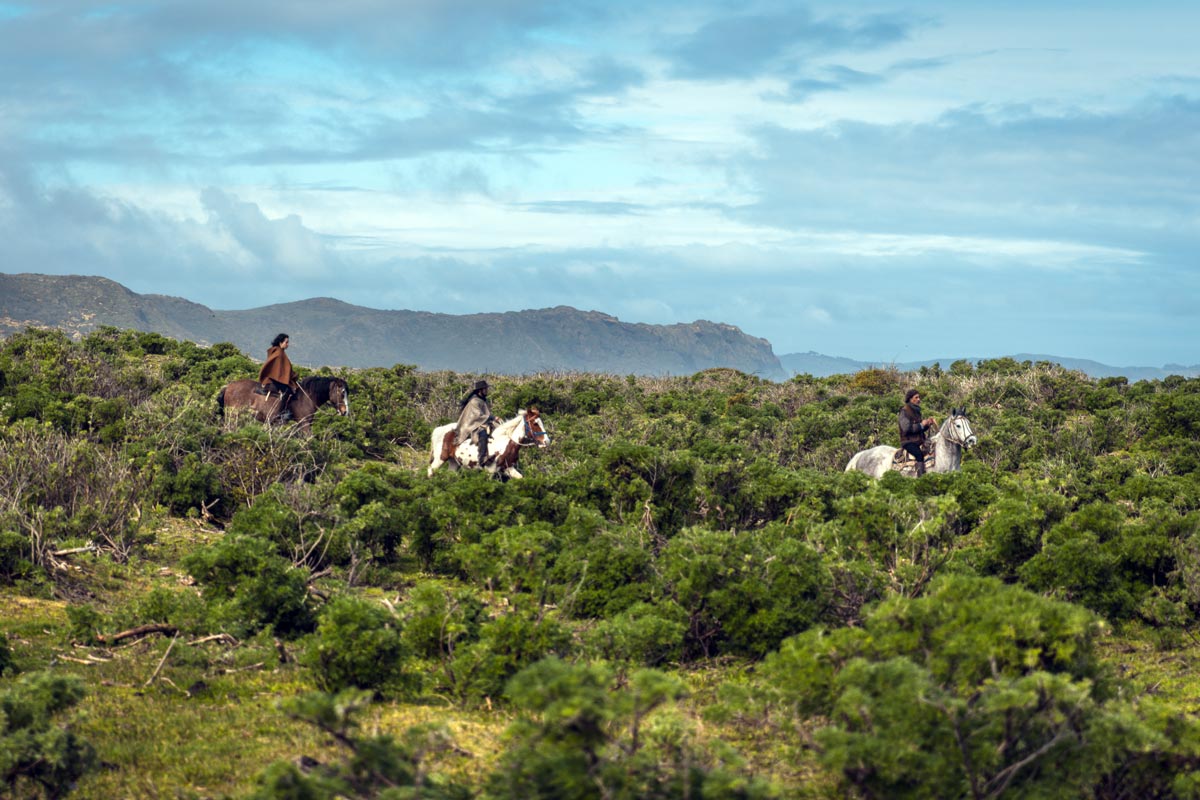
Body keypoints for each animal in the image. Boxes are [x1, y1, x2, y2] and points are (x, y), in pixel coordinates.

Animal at [217, 376, 350, 431]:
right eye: (342, 392)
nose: (345, 412)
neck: (306, 397)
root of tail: (228, 387)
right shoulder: (304, 424)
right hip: (233, 416)